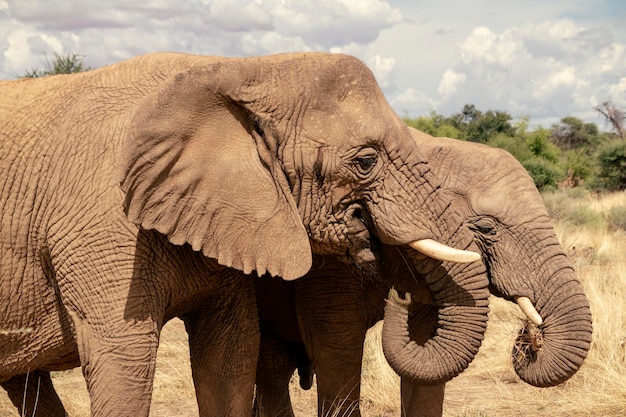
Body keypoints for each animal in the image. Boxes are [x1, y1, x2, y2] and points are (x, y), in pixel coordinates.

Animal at [0, 52, 478, 416]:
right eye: (366, 161)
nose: (402, 293)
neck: (235, 71)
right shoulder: (101, 226)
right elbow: (123, 361)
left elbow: (230, 355)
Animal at [251, 127, 592, 416]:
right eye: (486, 227)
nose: (529, 334)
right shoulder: (331, 261)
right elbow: (337, 346)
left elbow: (425, 352)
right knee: (272, 369)